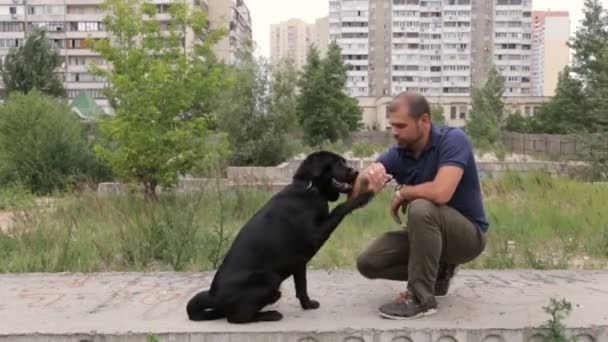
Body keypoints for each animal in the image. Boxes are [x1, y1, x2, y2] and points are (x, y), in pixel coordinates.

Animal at [186, 152, 376, 324]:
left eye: (344, 161)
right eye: (337, 163)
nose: (356, 172)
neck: (309, 188)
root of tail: (213, 296)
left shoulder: (299, 262)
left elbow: (302, 286)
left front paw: (308, 305)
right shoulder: (314, 236)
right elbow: (339, 208)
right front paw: (363, 197)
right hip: (271, 279)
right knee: (237, 318)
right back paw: (270, 315)